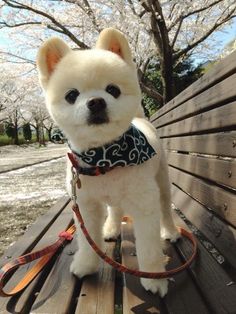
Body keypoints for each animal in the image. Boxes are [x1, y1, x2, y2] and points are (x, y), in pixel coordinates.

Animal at [36, 27, 179, 296]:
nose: (96, 101)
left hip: (162, 182)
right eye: (71, 95)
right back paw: (111, 230)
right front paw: (85, 264)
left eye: (113, 90)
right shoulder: (86, 205)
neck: (105, 159)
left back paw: (172, 232)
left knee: (165, 209)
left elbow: (149, 246)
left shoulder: (144, 205)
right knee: (115, 210)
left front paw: (154, 278)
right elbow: (87, 238)